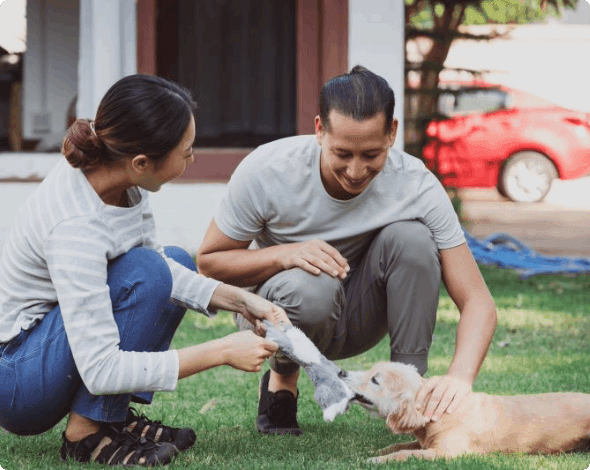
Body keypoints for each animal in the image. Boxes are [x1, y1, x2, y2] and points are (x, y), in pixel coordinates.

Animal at [342, 362, 590, 460]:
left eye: (375, 380)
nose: (341, 372)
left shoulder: (444, 453)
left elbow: (404, 453)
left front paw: (375, 460)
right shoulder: (424, 443)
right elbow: (399, 445)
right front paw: (377, 452)